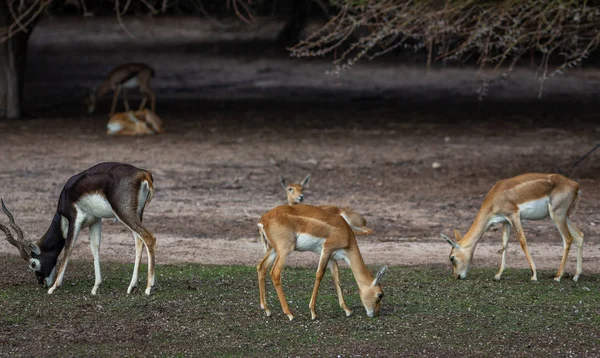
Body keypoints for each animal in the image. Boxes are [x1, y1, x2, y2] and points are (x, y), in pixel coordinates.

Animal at [0, 164, 158, 296]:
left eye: (33, 264)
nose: (42, 284)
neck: (67, 195)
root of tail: (143, 174)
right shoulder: (96, 221)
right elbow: (95, 248)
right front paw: (95, 287)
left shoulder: (75, 219)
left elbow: (68, 249)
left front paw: (54, 287)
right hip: (135, 214)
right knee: (139, 241)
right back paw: (132, 287)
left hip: (124, 213)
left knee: (149, 238)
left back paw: (148, 288)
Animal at [255, 204, 386, 322]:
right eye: (380, 294)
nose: (375, 313)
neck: (346, 232)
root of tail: (263, 220)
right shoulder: (326, 249)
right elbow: (319, 274)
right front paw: (313, 312)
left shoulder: (333, 257)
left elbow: (336, 276)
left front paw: (347, 310)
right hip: (285, 249)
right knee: (275, 273)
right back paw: (290, 314)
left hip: (273, 249)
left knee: (261, 267)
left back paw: (267, 309)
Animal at [442, 173, 584, 282]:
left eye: (452, 257)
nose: (457, 276)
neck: (495, 196)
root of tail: (576, 185)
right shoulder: (505, 221)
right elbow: (504, 244)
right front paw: (498, 275)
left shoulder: (514, 216)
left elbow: (522, 241)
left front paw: (534, 275)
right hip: (564, 216)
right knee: (579, 235)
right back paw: (576, 276)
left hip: (557, 215)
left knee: (568, 239)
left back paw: (558, 276)